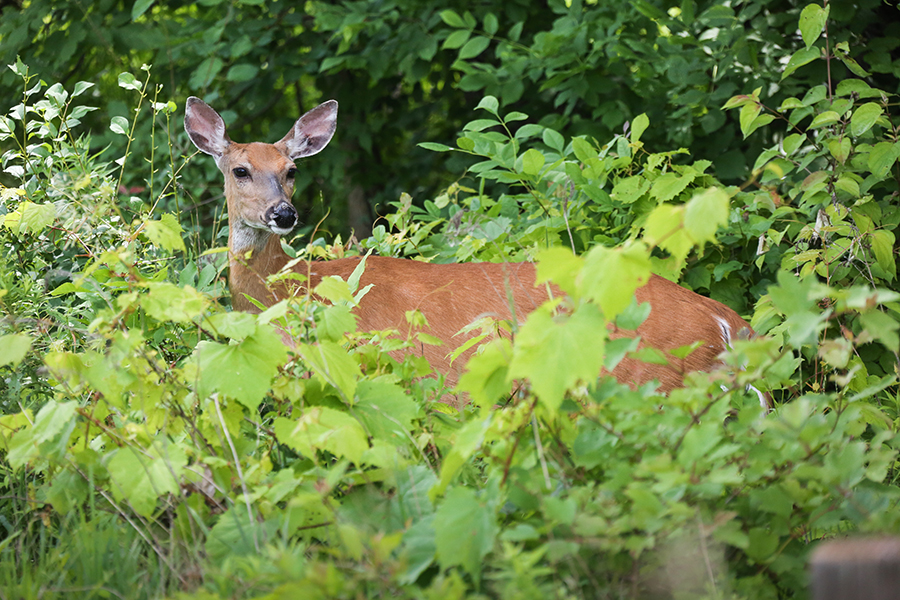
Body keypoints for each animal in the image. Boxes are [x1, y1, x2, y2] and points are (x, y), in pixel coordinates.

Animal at [185, 96, 772, 410]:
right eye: (240, 169)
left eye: (291, 171)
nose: (283, 214)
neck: (288, 289)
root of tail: (730, 322)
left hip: (641, 376)